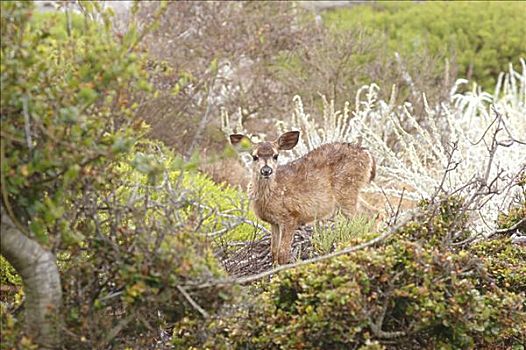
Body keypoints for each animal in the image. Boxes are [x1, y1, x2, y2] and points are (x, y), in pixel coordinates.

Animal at [230, 131, 376, 266]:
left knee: (359, 219)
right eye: (254, 156)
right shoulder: (274, 222)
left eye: (276, 155)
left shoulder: (290, 216)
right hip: (352, 192)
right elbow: (274, 252)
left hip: (346, 189)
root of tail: (368, 155)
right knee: (373, 212)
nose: (266, 170)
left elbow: (283, 254)